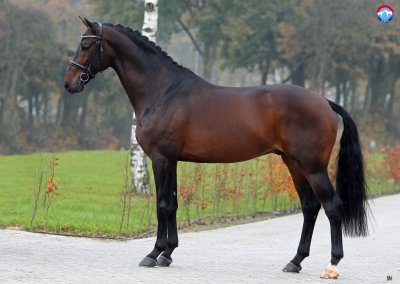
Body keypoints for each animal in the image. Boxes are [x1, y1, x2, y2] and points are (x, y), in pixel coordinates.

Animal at [64, 18, 368, 278]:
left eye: (86, 45)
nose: (69, 83)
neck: (164, 92)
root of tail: (325, 101)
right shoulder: (172, 160)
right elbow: (172, 203)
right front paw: (168, 254)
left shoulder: (161, 159)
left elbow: (162, 205)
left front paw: (153, 254)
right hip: (294, 163)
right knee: (309, 207)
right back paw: (295, 261)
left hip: (313, 167)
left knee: (332, 207)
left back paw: (332, 265)